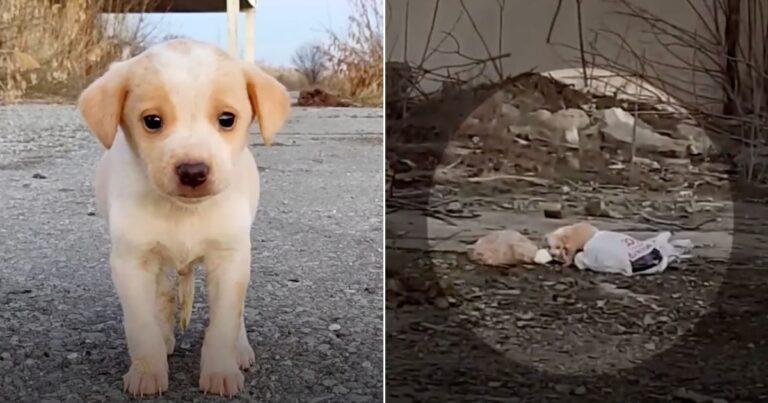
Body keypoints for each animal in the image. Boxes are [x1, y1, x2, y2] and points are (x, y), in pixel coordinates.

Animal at [79, 39, 288, 400]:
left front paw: (221, 372)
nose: (193, 171)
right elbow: (141, 323)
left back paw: (241, 349)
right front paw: (147, 371)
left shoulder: (229, 259)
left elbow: (224, 322)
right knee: (162, 295)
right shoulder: (131, 261)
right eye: (152, 121)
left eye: (227, 119)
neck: (184, 211)